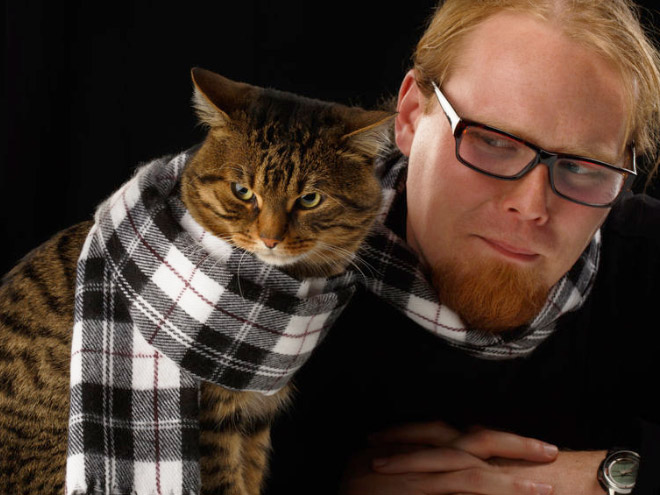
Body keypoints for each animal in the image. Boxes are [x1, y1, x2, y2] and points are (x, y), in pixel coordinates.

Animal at [0, 67, 392, 495]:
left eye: (310, 199)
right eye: (243, 191)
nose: (270, 238)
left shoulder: (255, 419)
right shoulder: (213, 427)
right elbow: (227, 483)